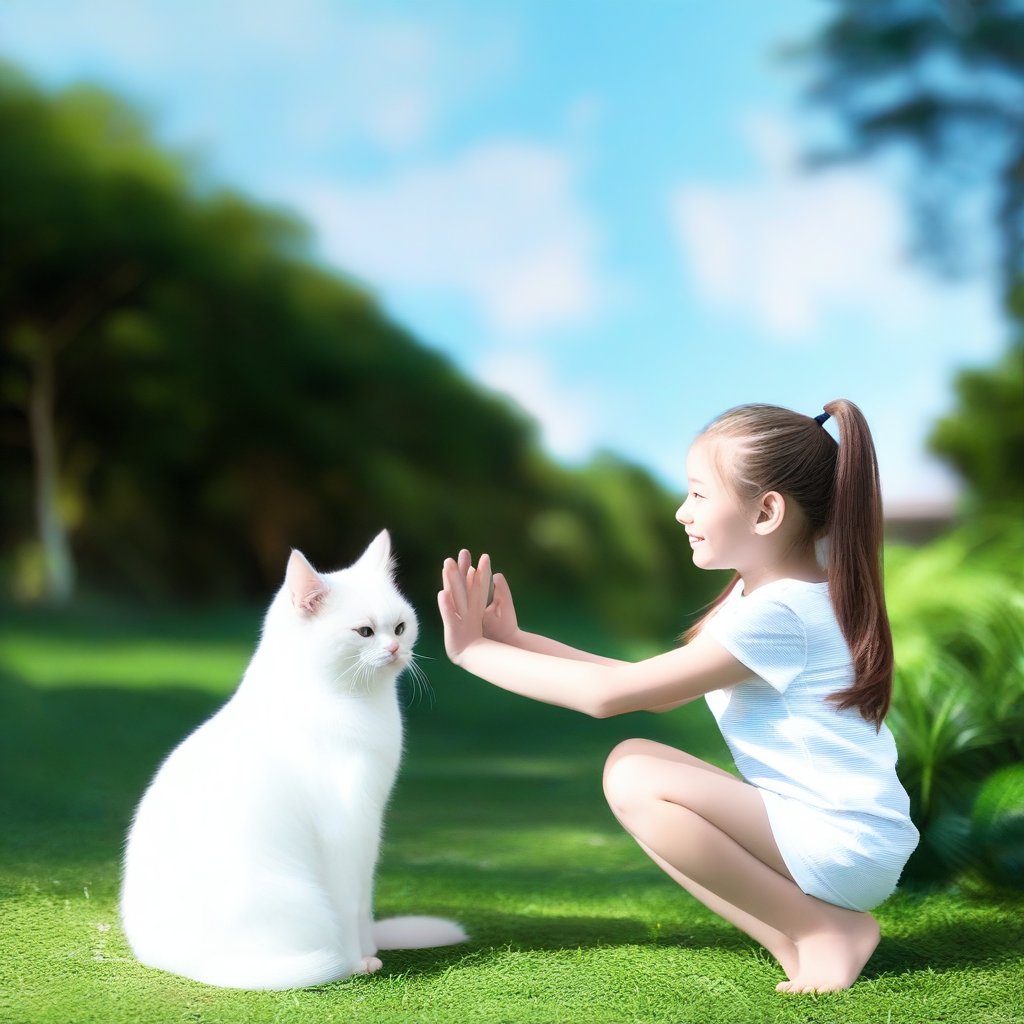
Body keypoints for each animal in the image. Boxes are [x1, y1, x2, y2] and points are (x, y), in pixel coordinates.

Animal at [120, 532, 468, 987]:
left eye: (400, 627)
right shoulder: (345, 828)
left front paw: (370, 950)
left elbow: (363, 904)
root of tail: (186, 965)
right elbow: (348, 906)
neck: (359, 702)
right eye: (365, 632)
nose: (395, 649)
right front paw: (357, 962)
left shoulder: (369, 825)